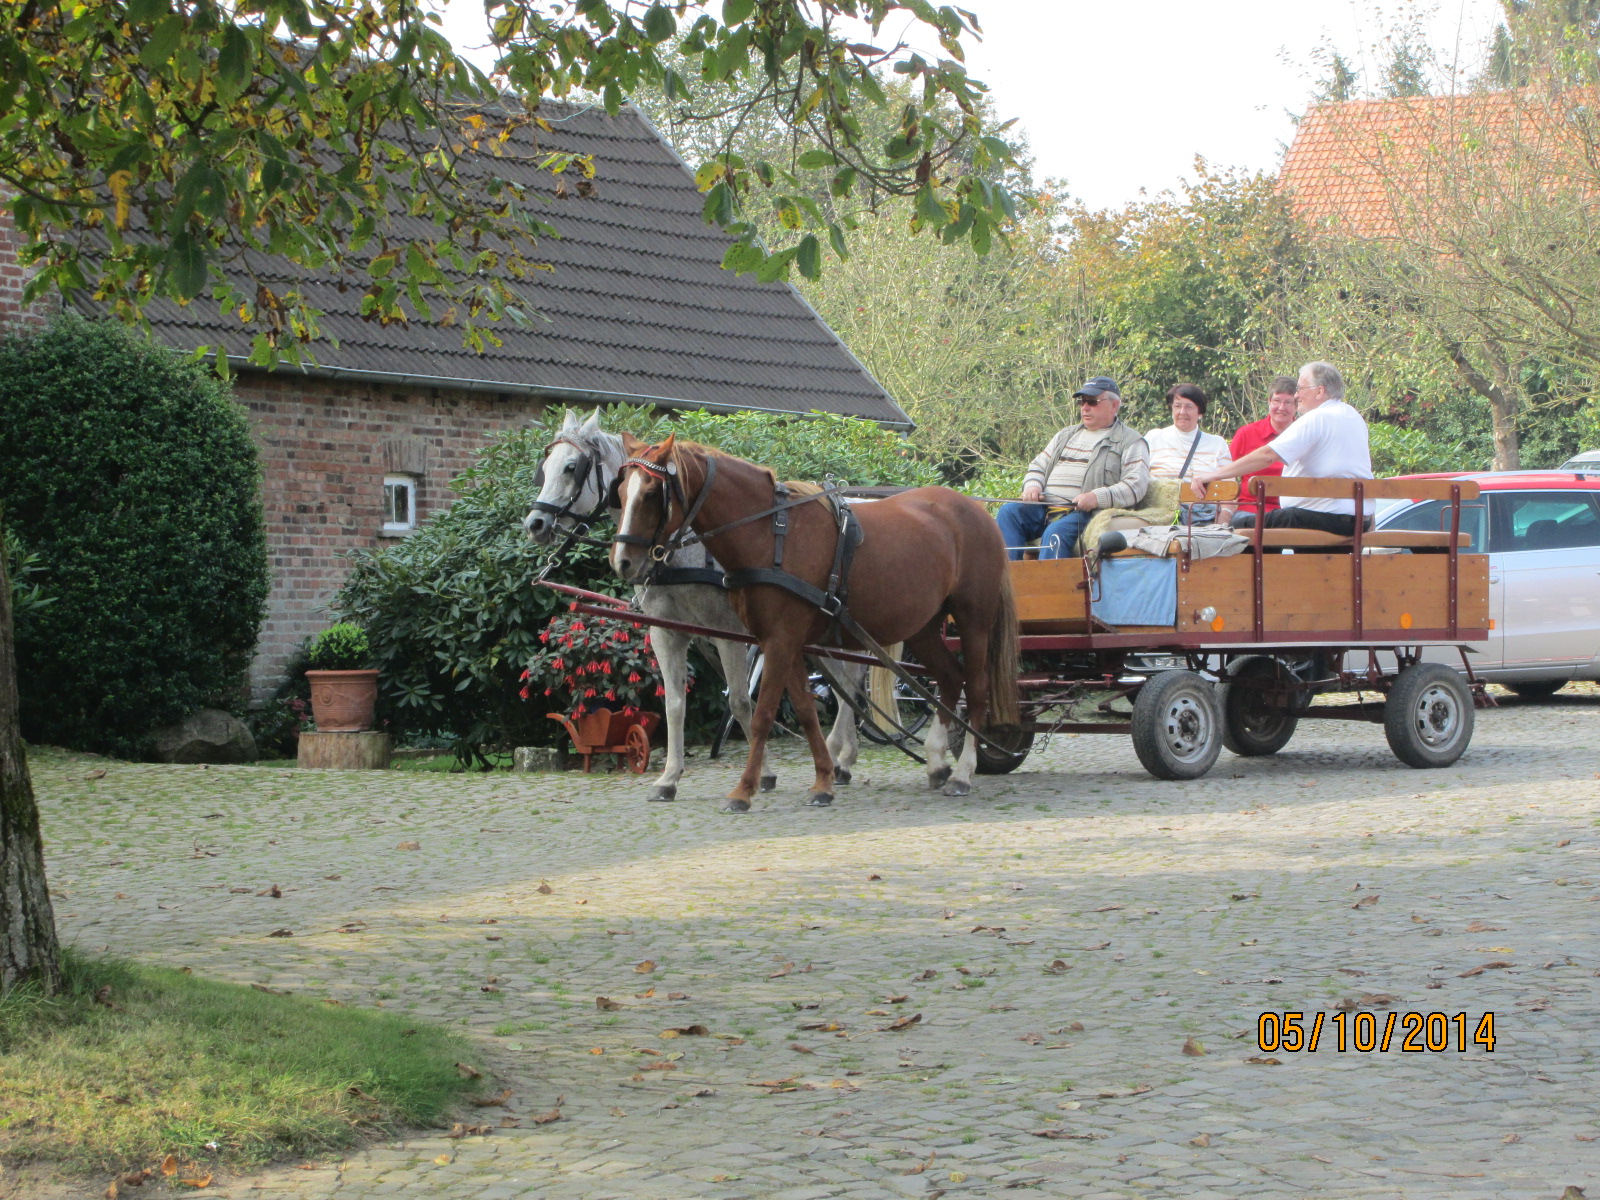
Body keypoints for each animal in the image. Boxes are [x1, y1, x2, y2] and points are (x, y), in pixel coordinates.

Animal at [523, 409, 866, 800]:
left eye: (571, 467)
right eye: (545, 466)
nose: (535, 523)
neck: (680, 547)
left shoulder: (728, 633)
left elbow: (740, 702)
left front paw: (761, 773)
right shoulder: (667, 632)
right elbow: (674, 704)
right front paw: (669, 778)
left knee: (851, 681)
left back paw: (838, 757)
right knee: (847, 684)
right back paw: (843, 757)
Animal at [610, 433, 1021, 813]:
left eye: (651, 492)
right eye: (620, 491)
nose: (623, 561)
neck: (771, 535)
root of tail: (975, 510)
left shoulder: (773, 641)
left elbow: (760, 714)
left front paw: (744, 790)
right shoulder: (780, 641)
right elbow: (806, 713)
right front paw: (823, 781)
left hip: (974, 620)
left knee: (976, 688)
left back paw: (963, 773)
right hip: (921, 627)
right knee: (949, 679)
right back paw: (935, 761)